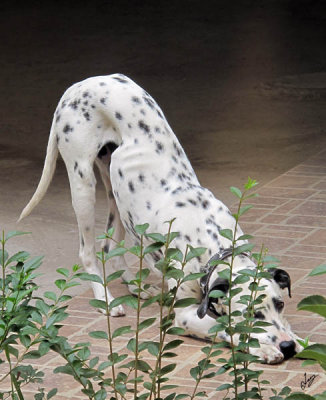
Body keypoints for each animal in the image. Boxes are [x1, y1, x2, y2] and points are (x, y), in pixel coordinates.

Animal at [18, 73, 304, 364]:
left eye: (280, 304)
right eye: (251, 313)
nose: (287, 347)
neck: (212, 239)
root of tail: (81, 84)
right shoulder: (186, 315)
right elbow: (225, 328)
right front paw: (263, 347)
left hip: (116, 193)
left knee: (109, 246)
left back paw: (136, 287)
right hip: (82, 184)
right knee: (87, 251)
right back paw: (106, 300)